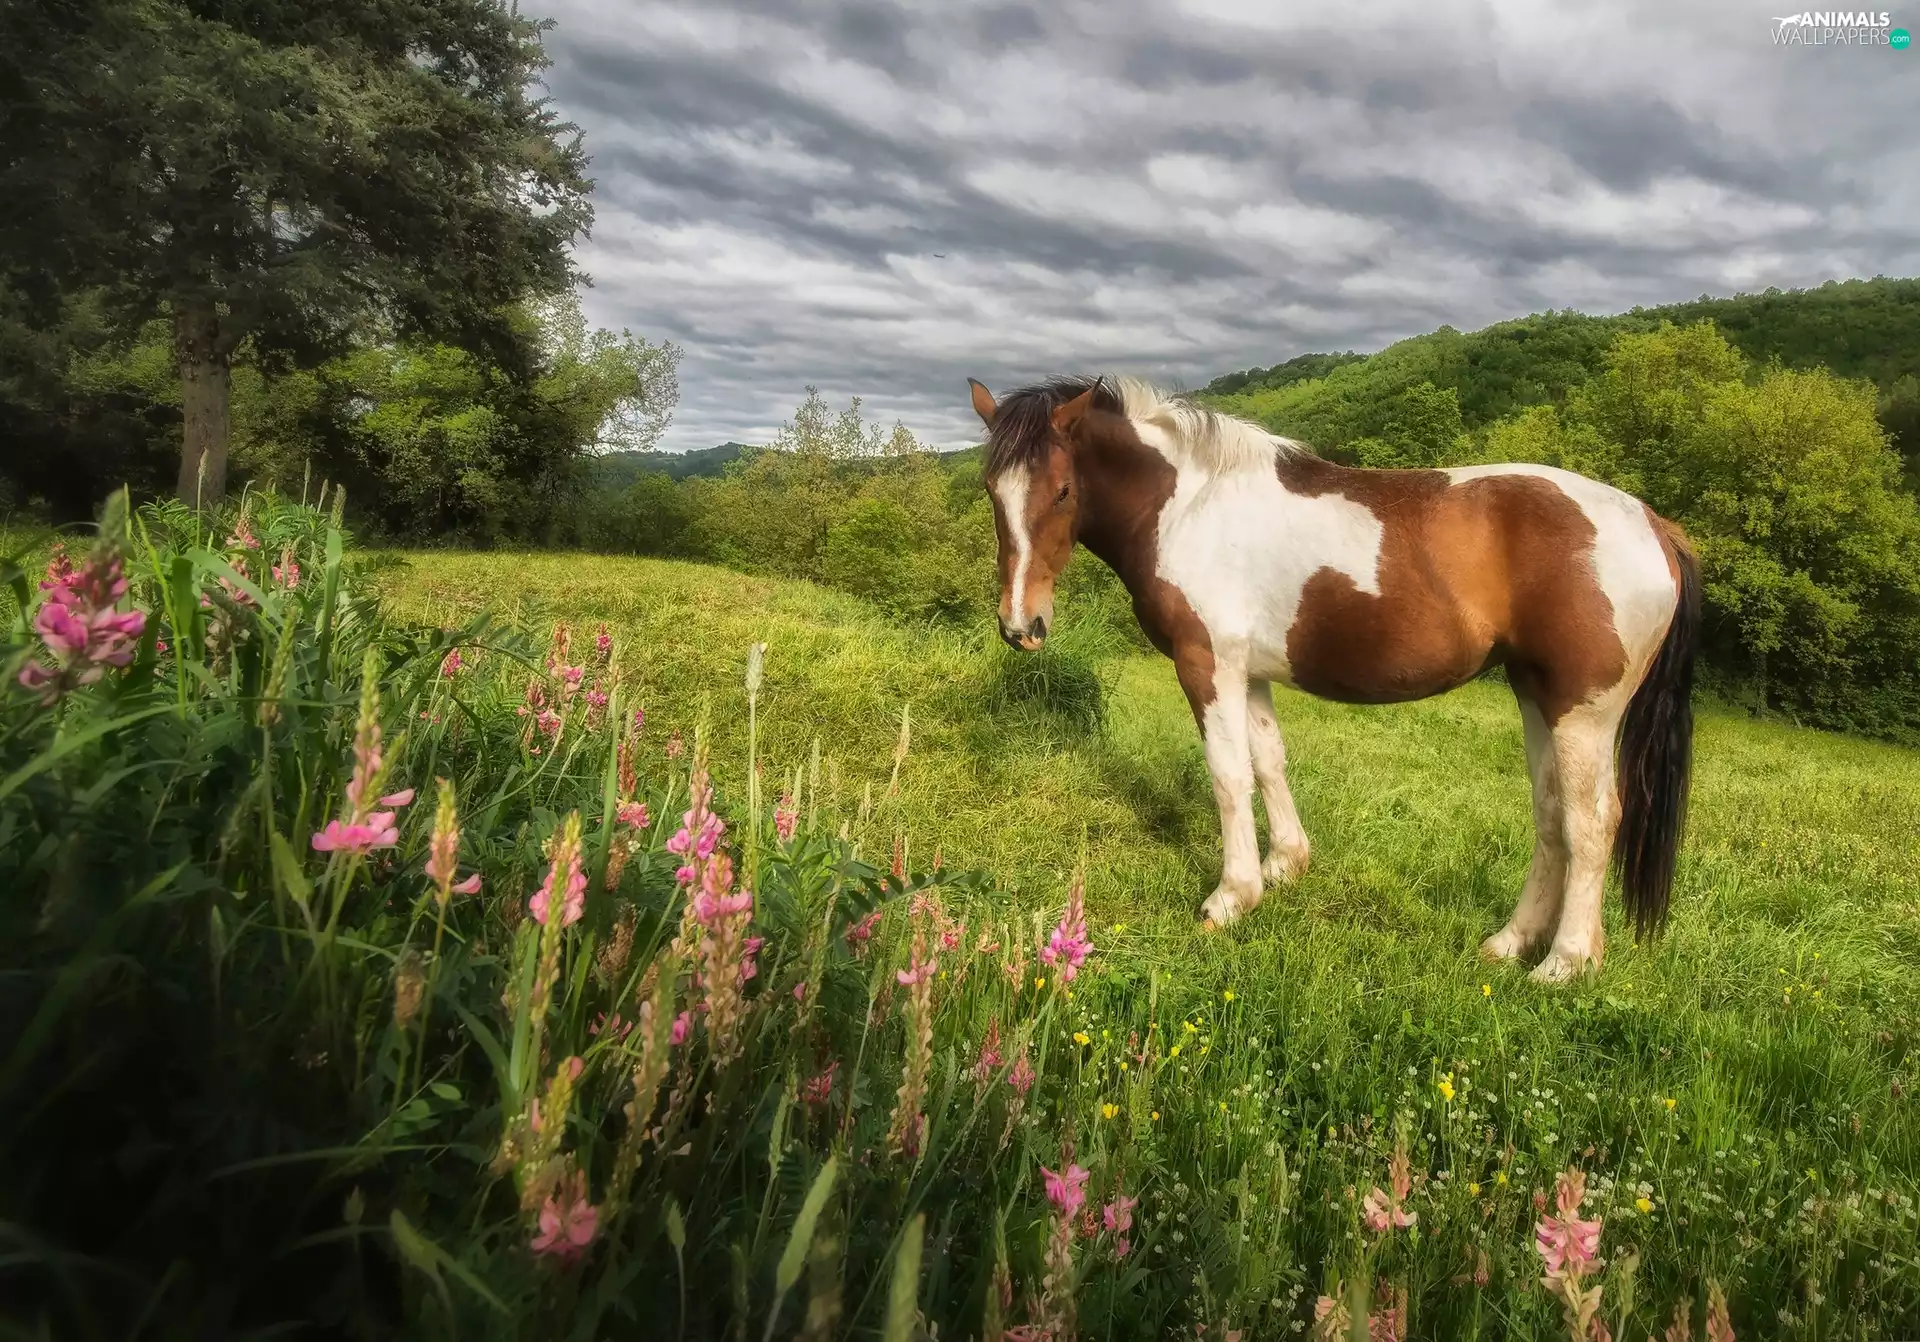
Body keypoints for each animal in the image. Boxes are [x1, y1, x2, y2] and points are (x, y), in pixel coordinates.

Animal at [967, 374, 1699, 983]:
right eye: (992, 491)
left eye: (1063, 490)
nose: (1021, 625)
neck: (1188, 505)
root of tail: (1654, 525)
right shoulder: (1249, 671)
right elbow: (1268, 761)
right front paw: (1285, 866)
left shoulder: (1208, 663)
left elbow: (1228, 775)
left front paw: (1232, 897)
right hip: (1536, 696)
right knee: (1551, 816)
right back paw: (1510, 943)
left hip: (1585, 712)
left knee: (1591, 821)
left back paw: (1564, 963)